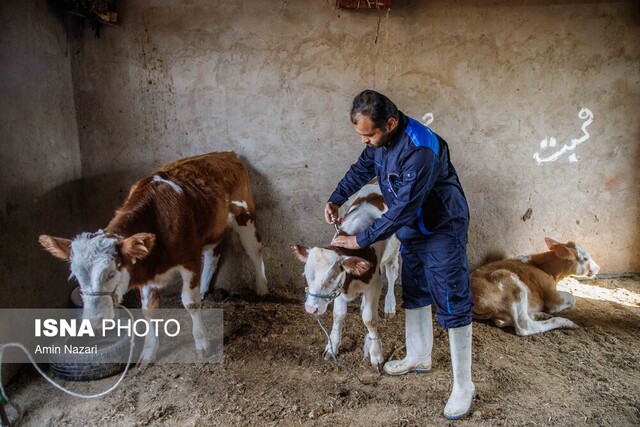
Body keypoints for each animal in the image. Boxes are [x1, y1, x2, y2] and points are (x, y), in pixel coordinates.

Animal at [38, 151, 268, 368]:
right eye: (76, 276)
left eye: (111, 273)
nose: (94, 321)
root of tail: (226, 154)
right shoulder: (143, 268)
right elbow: (148, 311)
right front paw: (148, 352)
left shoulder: (190, 260)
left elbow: (190, 302)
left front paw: (202, 344)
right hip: (211, 229)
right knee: (213, 256)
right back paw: (204, 289)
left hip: (245, 216)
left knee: (254, 250)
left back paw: (262, 287)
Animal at [292, 182, 400, 370]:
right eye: (306, 275)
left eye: (331, 279)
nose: (311, 309)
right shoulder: (341, 288)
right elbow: (338, 315)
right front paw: (332, 347)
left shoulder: (374, 284)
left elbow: (370, 320)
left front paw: (376, 354)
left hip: (394, 250)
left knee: (392, 273)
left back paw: (389, 305)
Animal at [470, 239, 600, 336]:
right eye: (585, 258)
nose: (598, 268)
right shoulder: (553, 297)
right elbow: (572, 297)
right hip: (512, 283)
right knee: (525, 326)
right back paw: (565, 322)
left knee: (504, 321)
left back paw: (538, 314)